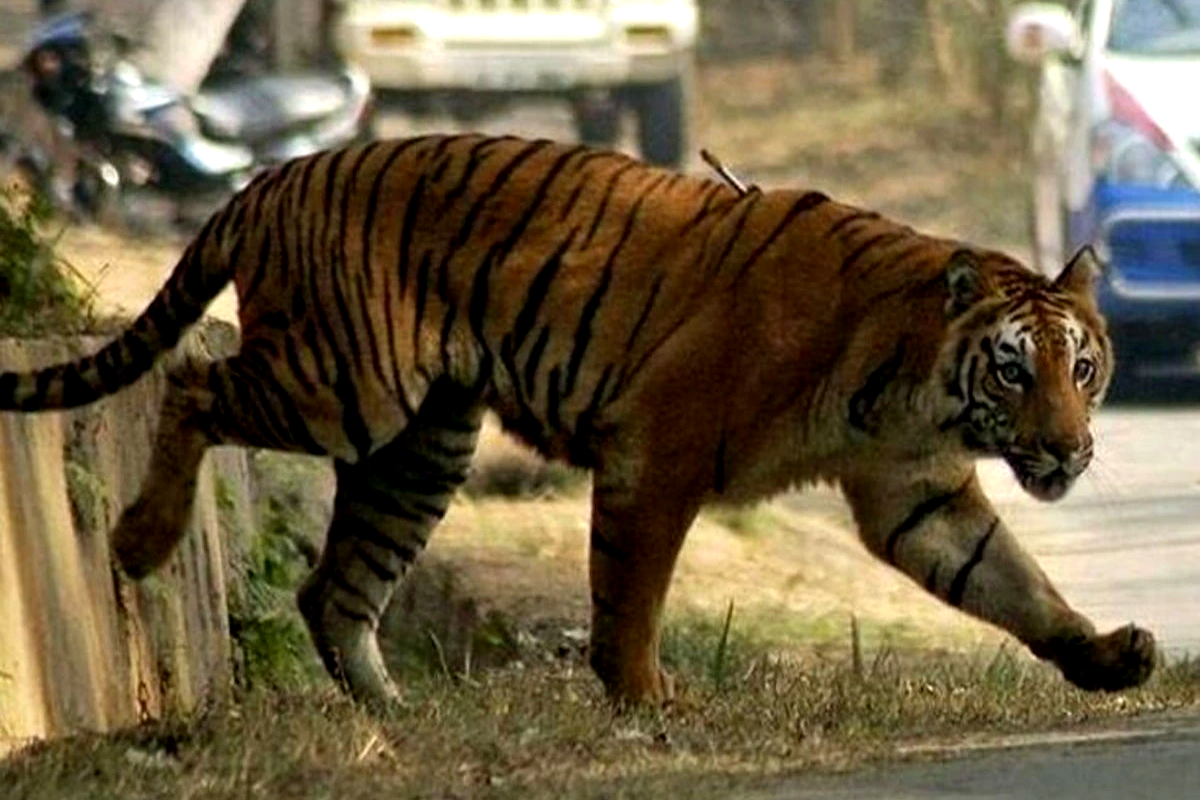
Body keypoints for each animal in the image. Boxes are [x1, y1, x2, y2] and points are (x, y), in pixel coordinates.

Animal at [0, 134, 1156, 709]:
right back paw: (139, 542)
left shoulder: (915, 492)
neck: (916, 381)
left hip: (422, 443)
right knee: (194, 385)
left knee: (334, 586)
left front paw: (1106, 655)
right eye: (1013, 371)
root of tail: (272, 175)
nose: (1067, 448)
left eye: (1081, 367)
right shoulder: (661, 449)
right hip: (346, 386)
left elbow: (1014, 584)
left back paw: (398, 717)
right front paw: (647, 697)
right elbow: (631, 592)